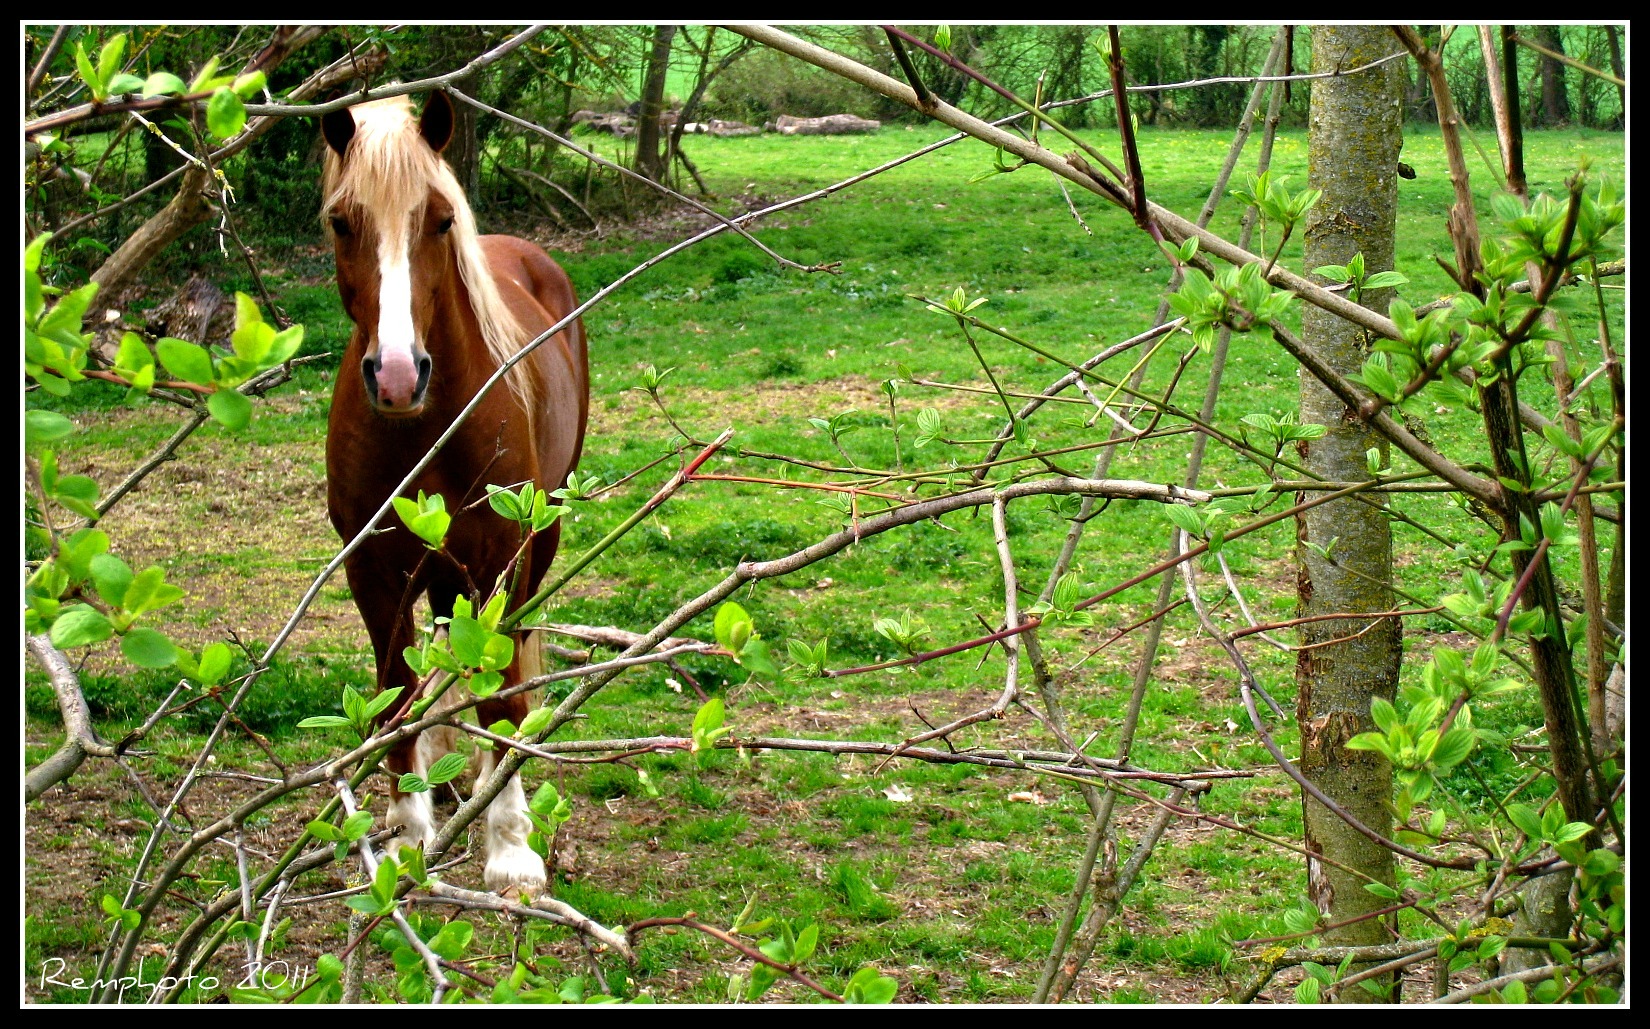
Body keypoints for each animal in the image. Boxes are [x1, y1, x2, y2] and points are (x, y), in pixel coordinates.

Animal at [318, 90, 590, 890]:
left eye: (440, 219)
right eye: (342, 221)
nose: (397, 375)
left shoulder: (499, 560)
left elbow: (499, 694)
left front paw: (511, 847)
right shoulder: (373, 572)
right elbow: (395, 698)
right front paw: (408, 833)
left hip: (540, 535)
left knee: (511, 655)